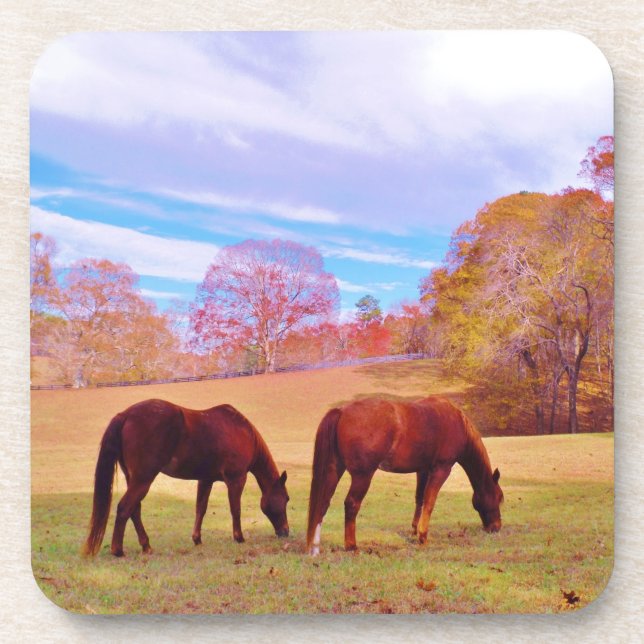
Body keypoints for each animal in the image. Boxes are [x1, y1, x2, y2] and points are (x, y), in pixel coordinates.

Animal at [82, 399, 289, 557]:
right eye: (286, 499)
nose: (286, 532)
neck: (242, 432)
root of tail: (125, 415)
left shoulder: (205, 480)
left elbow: (200, 509)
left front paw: (197, 539)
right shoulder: (236, 479)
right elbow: (235, 509)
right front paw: (239, 537)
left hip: (133, 479)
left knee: (134, 510)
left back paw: (146, 546)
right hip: (143, 479)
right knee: (125, 508)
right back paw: (118, 550)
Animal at [306, 396, 503, 555]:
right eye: (499, 497)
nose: (496, 527)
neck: (455, 421)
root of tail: (342, 411)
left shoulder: (423, 470)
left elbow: (420, 499)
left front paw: (415, 530)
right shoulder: (441, 469)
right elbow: (430, 501)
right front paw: (423, 536)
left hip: (334, 470)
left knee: (323, 502)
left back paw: (315, 546)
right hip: (363, 475)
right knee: (351, 504)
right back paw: (351, 545)